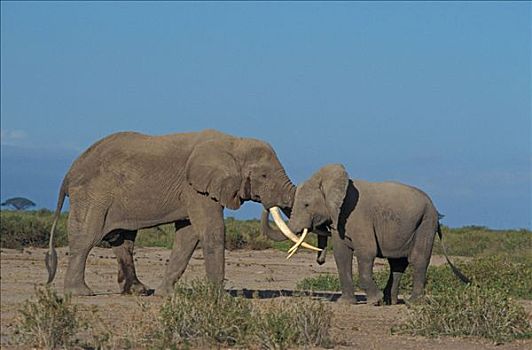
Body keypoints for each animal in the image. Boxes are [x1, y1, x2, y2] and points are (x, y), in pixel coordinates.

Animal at [45, 130, 320, 296]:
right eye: (263, 176)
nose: (267, 206)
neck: (233, 142)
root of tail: (69, 172)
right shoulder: (196, 187)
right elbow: (211, 230)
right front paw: (219, 297)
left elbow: (188, 236)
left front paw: (165, 294)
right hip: (93, 196)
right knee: (86, 238)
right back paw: (80, 292)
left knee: (123, 241)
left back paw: (140, 291)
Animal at [264, 163, 468, 304]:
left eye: (306, 205)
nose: (319, 260)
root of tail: (436, 210)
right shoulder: (340, 221)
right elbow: (341, 255)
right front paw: (346, 303)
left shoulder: (358, 215)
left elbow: (366, 252)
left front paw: (373, 302)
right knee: (397, 264)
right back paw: (390, 302)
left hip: (426, 222)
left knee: (417, 259)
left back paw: (412, 302)